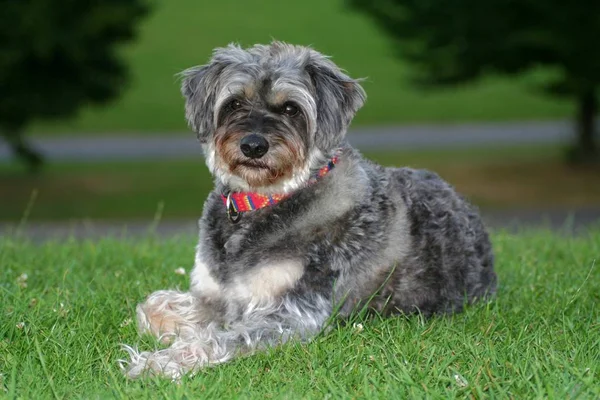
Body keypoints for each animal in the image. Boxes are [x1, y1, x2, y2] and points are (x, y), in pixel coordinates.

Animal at [123, 42, 496, 380]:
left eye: (291, 109)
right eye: (235, 103)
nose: (253, 145)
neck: (265, 201)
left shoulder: (293, 314)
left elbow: (221, 337)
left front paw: (158, 363)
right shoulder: (213, 294)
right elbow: (153, 306)